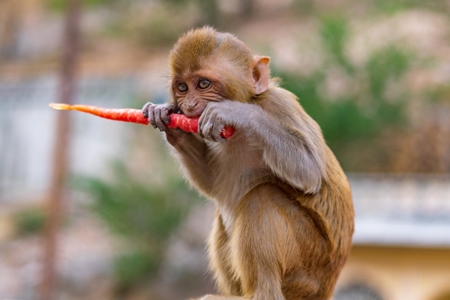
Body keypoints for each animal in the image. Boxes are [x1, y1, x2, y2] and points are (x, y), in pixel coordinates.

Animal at [142, 26, 354, 300]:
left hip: (309, 268)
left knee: (262, 196)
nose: (188, 106)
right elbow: (212, 184)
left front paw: (239, 113)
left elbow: (309, 171)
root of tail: (325, 290)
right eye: (181, 87)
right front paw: (167, 118)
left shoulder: (280, 106)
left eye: (203, 84)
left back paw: (260, 293)